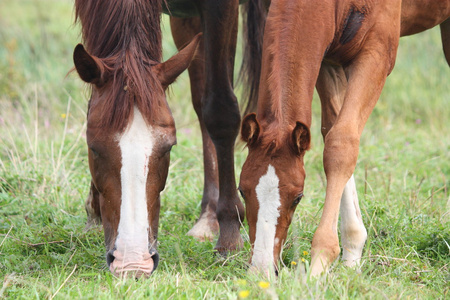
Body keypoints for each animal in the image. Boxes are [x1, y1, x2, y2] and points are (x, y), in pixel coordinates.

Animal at [72, 0, 266, 278]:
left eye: (168, 148)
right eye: (93, 148)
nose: (132, 263)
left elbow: (221, 111)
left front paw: (230, 234)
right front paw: (94, 211)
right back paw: (208, 216)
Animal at [239, 0, 450, 276]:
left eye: (298, 197)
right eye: (242, 191)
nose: (262, 269)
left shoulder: (377, 53)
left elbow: (342, 143)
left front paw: (319, 263)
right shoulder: (327, 59)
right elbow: (333, 132)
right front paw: (352, 254)